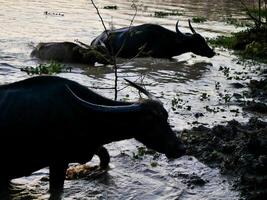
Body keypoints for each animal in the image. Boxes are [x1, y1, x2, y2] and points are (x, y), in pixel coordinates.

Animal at [0, 76, 186, 199]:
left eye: (165, 117)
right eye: (150, 120)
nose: (180, 148)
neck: (85, 114)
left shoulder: (93, 147)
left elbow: (105, 158)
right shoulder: (58, 162)